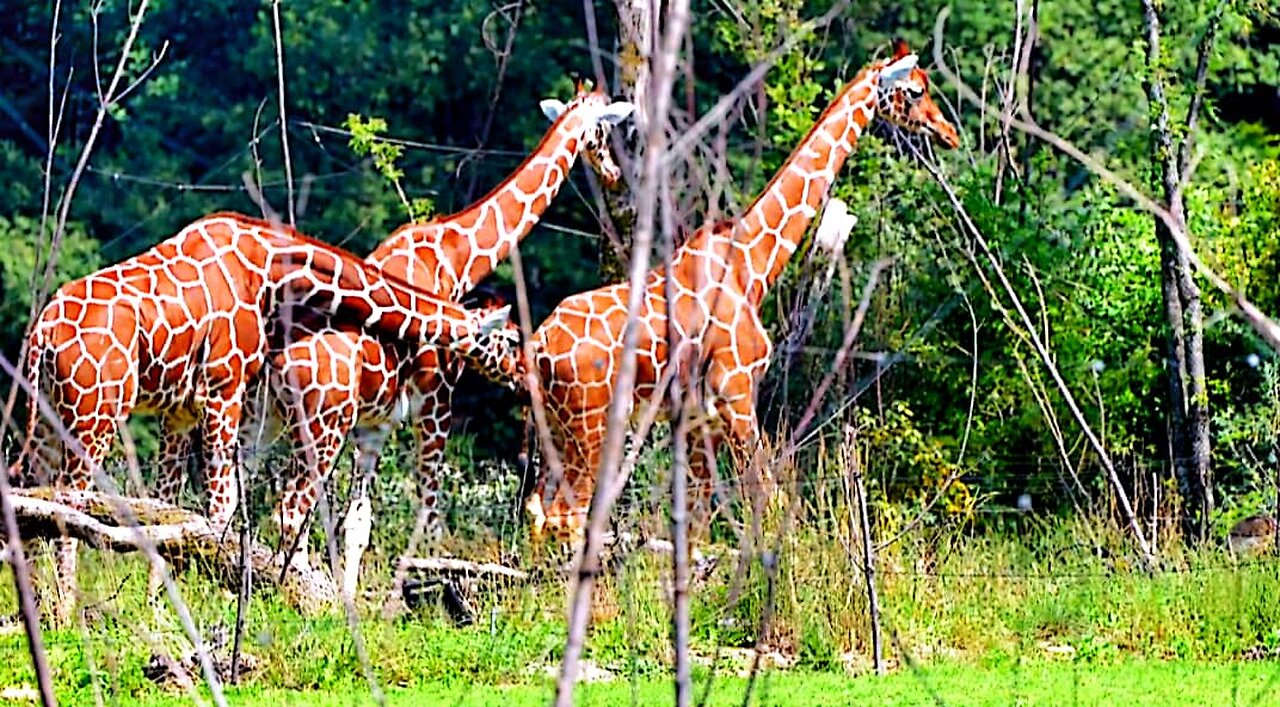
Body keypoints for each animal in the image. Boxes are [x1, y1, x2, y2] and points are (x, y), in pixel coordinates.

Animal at [6, 212, 514, 622]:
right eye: (508, 337)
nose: (520, 372)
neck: (271, 265)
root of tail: (42, 335)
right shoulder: (222, 389)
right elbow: (218, 509)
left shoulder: (191, 406)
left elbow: (179, 506)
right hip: (93, 414)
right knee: (69, 505)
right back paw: (65, 611)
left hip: (47, 416)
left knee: (33, 495)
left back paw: (36, 607)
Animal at [229, 80, 629, 594]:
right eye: (603, 131)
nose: (614, 172)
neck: (454, 256)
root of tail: (276, 358)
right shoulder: (436, 403)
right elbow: (431, 518)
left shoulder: (376, 423)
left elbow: (358, 523)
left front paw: (352, 601)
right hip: (320, 427)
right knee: (287, 511)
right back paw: (292, 592)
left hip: (262, 418)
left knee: (233, 499)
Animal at [519, 40, 962, 540]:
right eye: (916, 89)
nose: (948, 133)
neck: (752, 263)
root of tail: (539, 346)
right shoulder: (736, 394)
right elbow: (766, 492)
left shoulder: (697, 417)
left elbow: (695, 516)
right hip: (588, 424)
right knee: (566, 515)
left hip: (556, 429)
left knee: (539, 512)